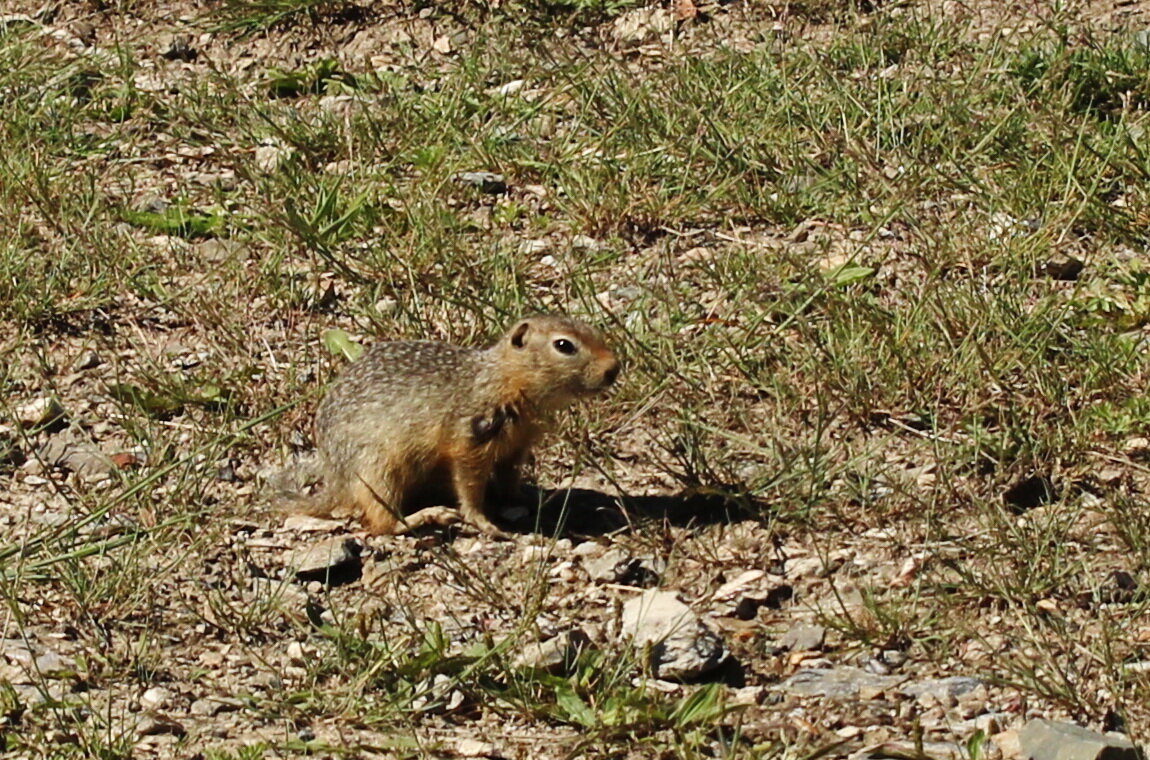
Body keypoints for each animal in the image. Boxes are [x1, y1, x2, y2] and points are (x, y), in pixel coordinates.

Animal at [292, 310, 625, 535]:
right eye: (564, 346)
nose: (614, 368)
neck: (503, 378)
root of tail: (335, 480)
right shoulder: (472, 437)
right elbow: (469, 484)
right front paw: (484, 522)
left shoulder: (517, 445)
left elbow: (509, 478)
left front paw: (526, 499)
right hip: (376, 470)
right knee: (382, 520)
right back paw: (427, 516)